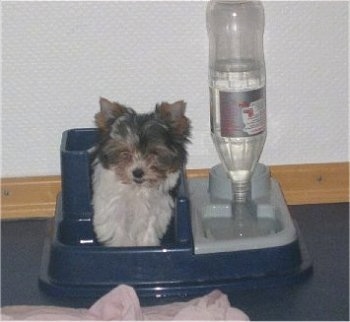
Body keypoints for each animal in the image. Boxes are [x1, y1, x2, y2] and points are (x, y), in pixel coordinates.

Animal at [91, 97, 190, 247]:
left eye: (153, 153)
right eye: (125, 153)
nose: (138, 172)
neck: (137, 187)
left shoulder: (156, 210)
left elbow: (149, 227)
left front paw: (148, 244)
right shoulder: (114, 209)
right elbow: (118, 231)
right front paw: (123, 246)